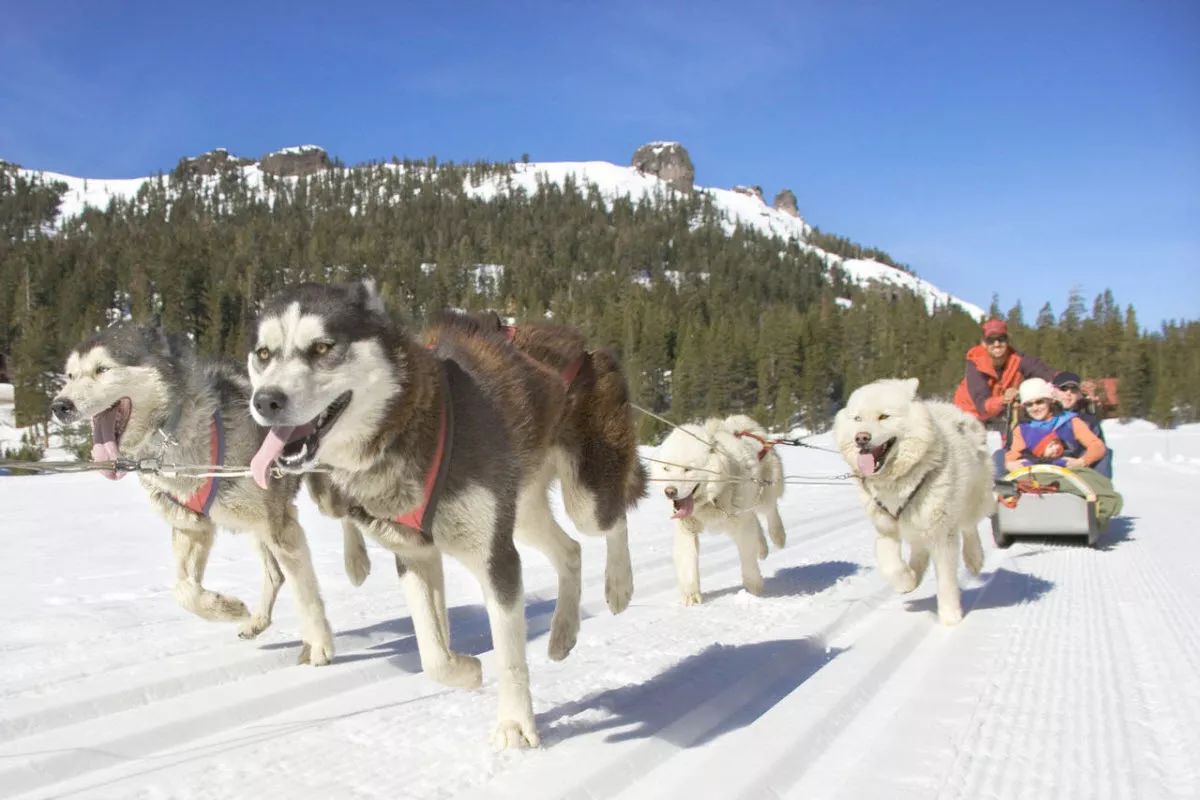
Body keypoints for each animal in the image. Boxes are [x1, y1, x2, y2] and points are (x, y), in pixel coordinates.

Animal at [50, 326, 360, 662]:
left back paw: (357, 562)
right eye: (70, 375)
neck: (178, 435)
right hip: (255, 526)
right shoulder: (191, 526)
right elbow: (184, 590)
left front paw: (319, 645)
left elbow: (305, 593)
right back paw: (258, 620)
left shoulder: (280, 524)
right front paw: (226, 607)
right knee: (275, 573)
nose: (60, 406)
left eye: (102, 369)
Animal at [238, 280, 643, 743]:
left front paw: (515, 726)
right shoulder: (415, 555)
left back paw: (619, 585)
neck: (408, 424)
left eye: (322, 347)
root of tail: (584, 346)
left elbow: (509, 656)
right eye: (263, 353)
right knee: (570, 551)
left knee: (612, 518)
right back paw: (562, 633)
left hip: (585, 498)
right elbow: (434, 657)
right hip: (521, 515)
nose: (265, 401)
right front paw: (467, 670)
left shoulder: (495, 558)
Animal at [648, 417, 787, 604]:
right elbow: (688, 561)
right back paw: (762, 547)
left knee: (770, 510)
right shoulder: (687, 529)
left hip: (765, 493)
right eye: (666, 469)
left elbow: (747, 557)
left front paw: (754, 586)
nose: (669, 491)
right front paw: (691, 595)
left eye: (688, 469)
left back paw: (778, 536)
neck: (712, 499)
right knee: (755, 521)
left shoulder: (741, 525)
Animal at [835, 376, 993, 623]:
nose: (861, 437)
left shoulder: (941, 535)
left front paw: (950, 617)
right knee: (919, 552)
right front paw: (906, 581)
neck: (897, 482)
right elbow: (892, 566)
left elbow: (946, 580)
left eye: (884, 416)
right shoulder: (886, 530)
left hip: (972, 500)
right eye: (857, 418)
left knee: (969, 527)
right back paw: (914, 575)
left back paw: (974, 559)